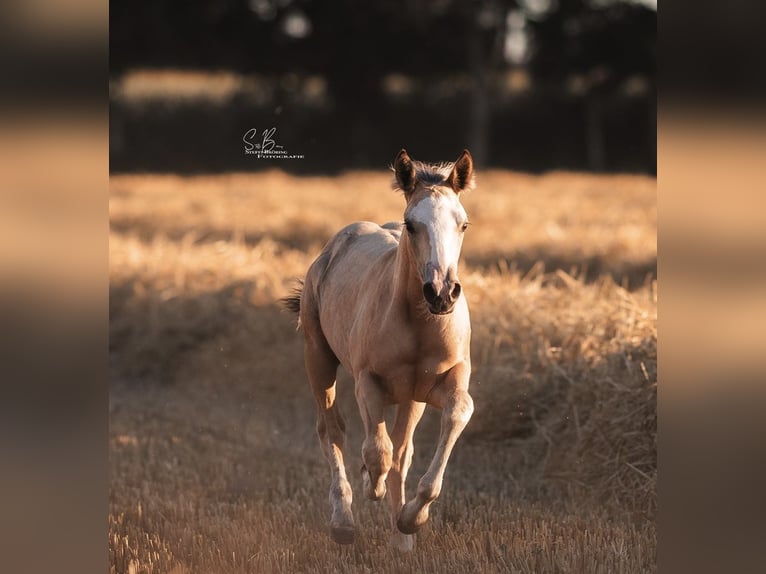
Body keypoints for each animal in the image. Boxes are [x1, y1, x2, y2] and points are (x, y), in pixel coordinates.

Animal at [283, 149, 475, 551]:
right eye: (411, 225)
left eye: (463, 224)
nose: (442, 293)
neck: (418, 322)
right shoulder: (368, 383)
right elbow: (376, 451)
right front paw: (372, 486)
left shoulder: (442, 384)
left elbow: (455, 416)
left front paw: (411, 520)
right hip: (318, 359)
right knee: (332, 431)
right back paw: (343, 522)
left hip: (411, 397)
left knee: (402, 451)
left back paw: (401, 538)